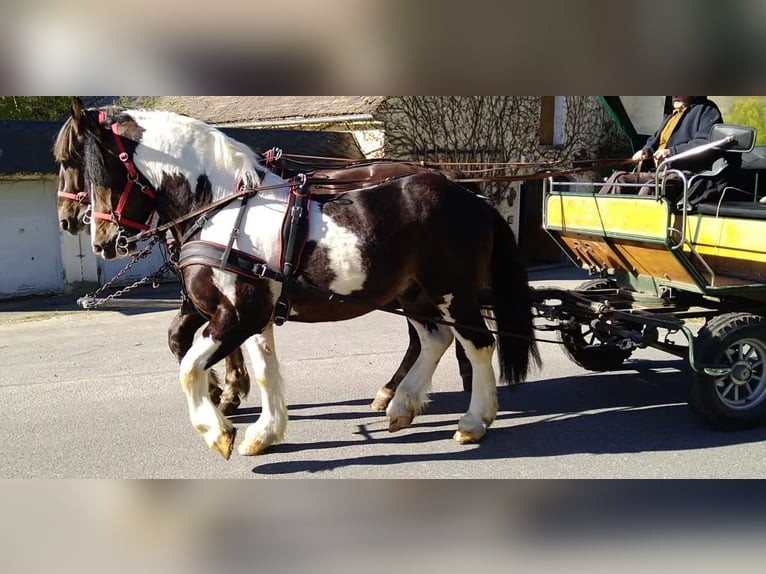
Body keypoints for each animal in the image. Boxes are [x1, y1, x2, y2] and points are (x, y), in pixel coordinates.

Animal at [70, 101, 540, 460]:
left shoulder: (238, 314)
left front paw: (218, 431)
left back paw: (473, 420)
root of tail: (472, 197)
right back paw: (401, 404)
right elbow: (263, 371)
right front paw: (263, 432)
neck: (222, 207)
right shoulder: (254, 316)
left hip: (451, 293)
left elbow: (189, 368)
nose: (102, 241)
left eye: (98, 170)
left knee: (478, 345)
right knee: (434, 340)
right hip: (414, 295)